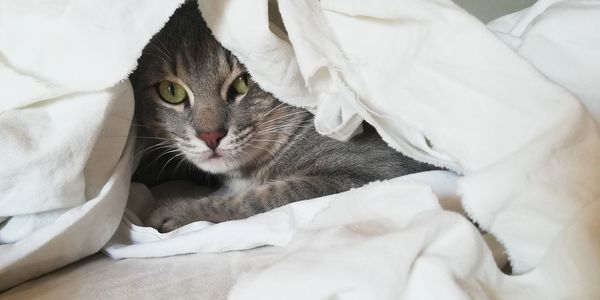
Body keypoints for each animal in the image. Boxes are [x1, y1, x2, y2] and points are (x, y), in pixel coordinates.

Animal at [130, 1, 436, 233]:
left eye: (242, 82)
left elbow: (260, 198)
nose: (211, 136)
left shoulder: (372, 172)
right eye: (171, 91)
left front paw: (176, 211)